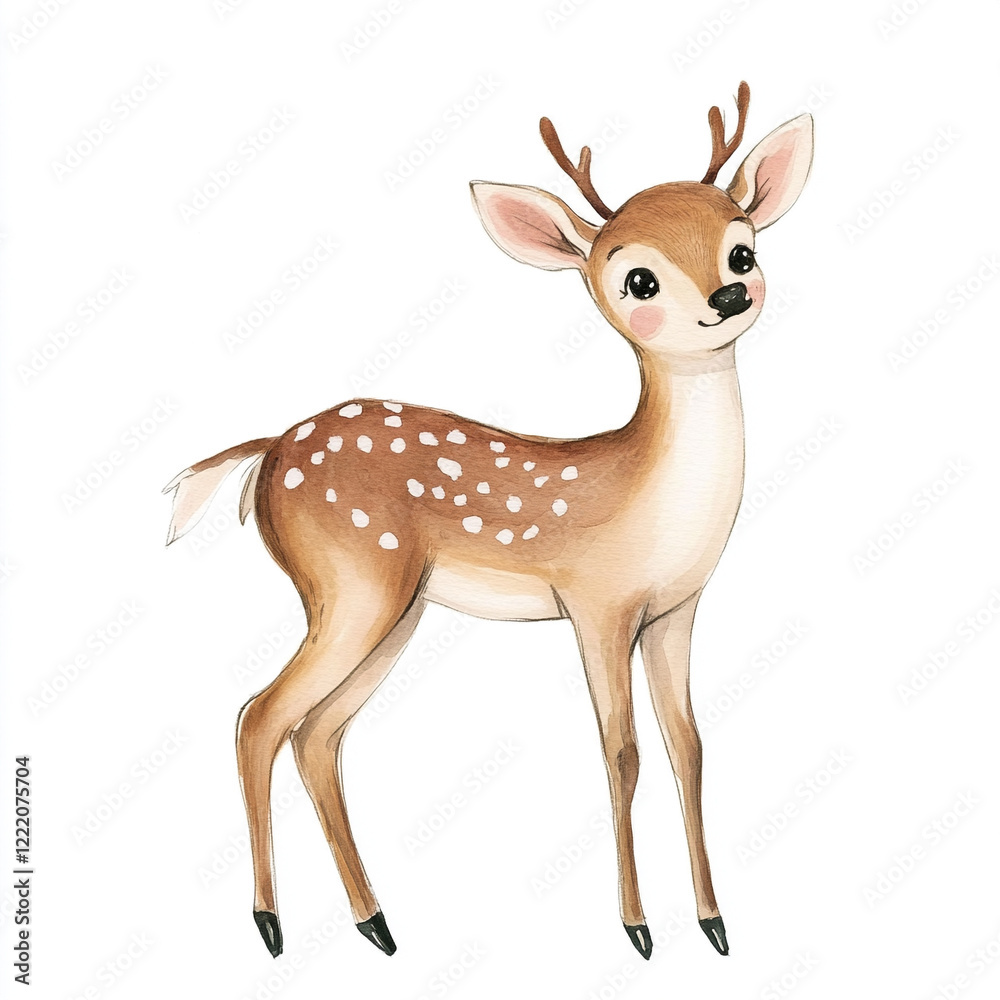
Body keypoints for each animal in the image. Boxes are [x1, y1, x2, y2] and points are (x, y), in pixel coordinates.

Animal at [164, 81, 813, 963]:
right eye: (638, 281)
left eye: (742, 250)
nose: (730, 296)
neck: (653, 499)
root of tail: (267, 454)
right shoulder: (596, 603)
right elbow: (621, 751)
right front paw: (638, 929)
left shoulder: (677, 608)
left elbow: (691, 747)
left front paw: (714, 925)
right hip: (352, 580)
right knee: (259, 717)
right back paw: (270, 927)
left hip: (392, 607)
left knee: (317, 734)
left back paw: (376, 924)